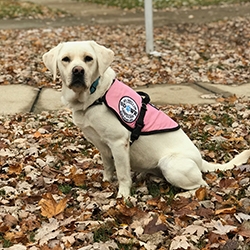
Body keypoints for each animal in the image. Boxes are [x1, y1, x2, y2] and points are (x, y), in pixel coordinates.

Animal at [43, 41, 250, 197]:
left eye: (88, 58)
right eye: (65, 59)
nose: (78, 71)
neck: (93, 97)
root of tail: (200, 160)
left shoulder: (118, 143)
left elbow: (122, 174)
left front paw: (123, 197)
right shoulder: (102, 146)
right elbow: (108, 167)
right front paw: (106, 182)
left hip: (171, 164)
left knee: (202, 186)